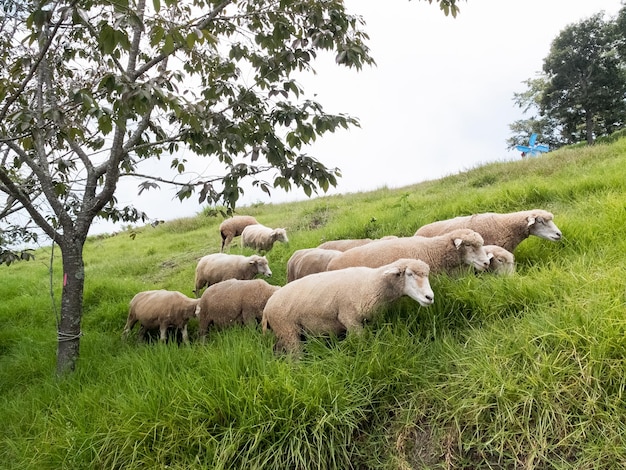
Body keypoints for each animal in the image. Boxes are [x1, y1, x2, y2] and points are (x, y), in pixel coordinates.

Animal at [260, 258, 432, 354]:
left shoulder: (366, 321)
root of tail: (267, 308)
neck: (370, 284)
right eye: (409, 274)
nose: (430, 297)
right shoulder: (349, 318)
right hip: (287, 329)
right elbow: (362, 342)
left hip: (284, 332)